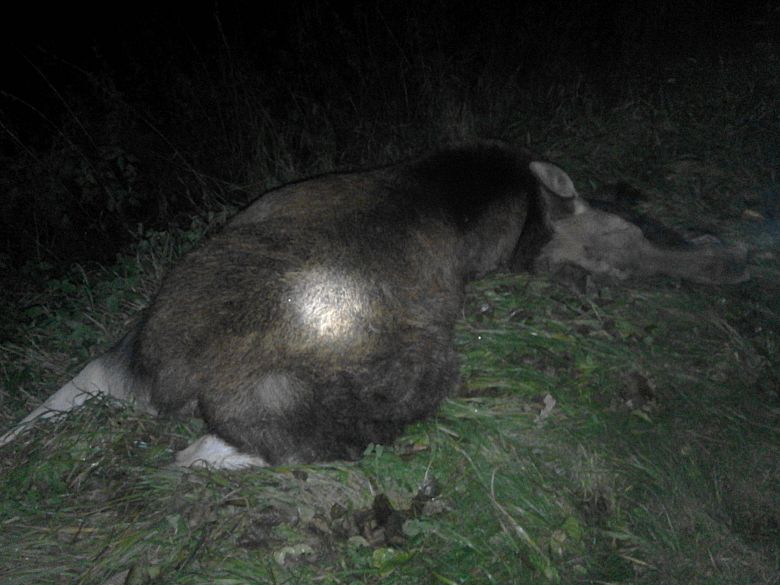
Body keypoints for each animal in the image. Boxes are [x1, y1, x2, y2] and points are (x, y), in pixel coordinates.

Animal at [0, 141, 748, 466]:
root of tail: (177, 378)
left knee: (69, 392)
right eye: (627, 239)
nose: (725, 256)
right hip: (417, 367)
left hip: (134, 340)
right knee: (275, 443)